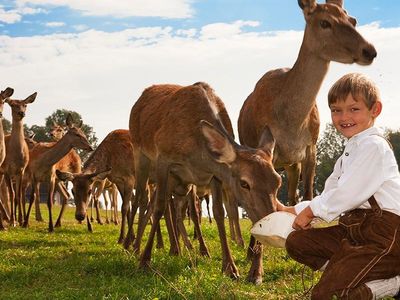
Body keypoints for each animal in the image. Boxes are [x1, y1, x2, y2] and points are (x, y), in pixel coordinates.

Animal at [0, 90, 36, 226]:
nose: (21, 113)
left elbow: (19, 195)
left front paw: (20, 220)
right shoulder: (6, 170)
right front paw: (12, 221)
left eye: (25, 105)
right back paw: (6, 218)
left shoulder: (21, 170)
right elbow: (12, 194)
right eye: (13, 105)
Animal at [130, 82, 280, 278]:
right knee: (140, 200)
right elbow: (159, 207)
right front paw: (145, 261)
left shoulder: (214, 175)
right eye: (244, 183)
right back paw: (132, 245)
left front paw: (230, 267)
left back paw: (175, 248)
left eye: (278, 181)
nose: (273, 225)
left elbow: (218, 212)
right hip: (141, 156)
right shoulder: (164, 159)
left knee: (170, 209)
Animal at [238, 0, 378, 284]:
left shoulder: (310, 148)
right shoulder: (263, 150)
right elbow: (259, 205)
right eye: (324, 22)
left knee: (292, 195)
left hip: (292, 165)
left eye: (353, 19)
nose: (369, 50)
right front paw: (255, 273)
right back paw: (250, 252)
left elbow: (309, 194)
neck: (290, 121)